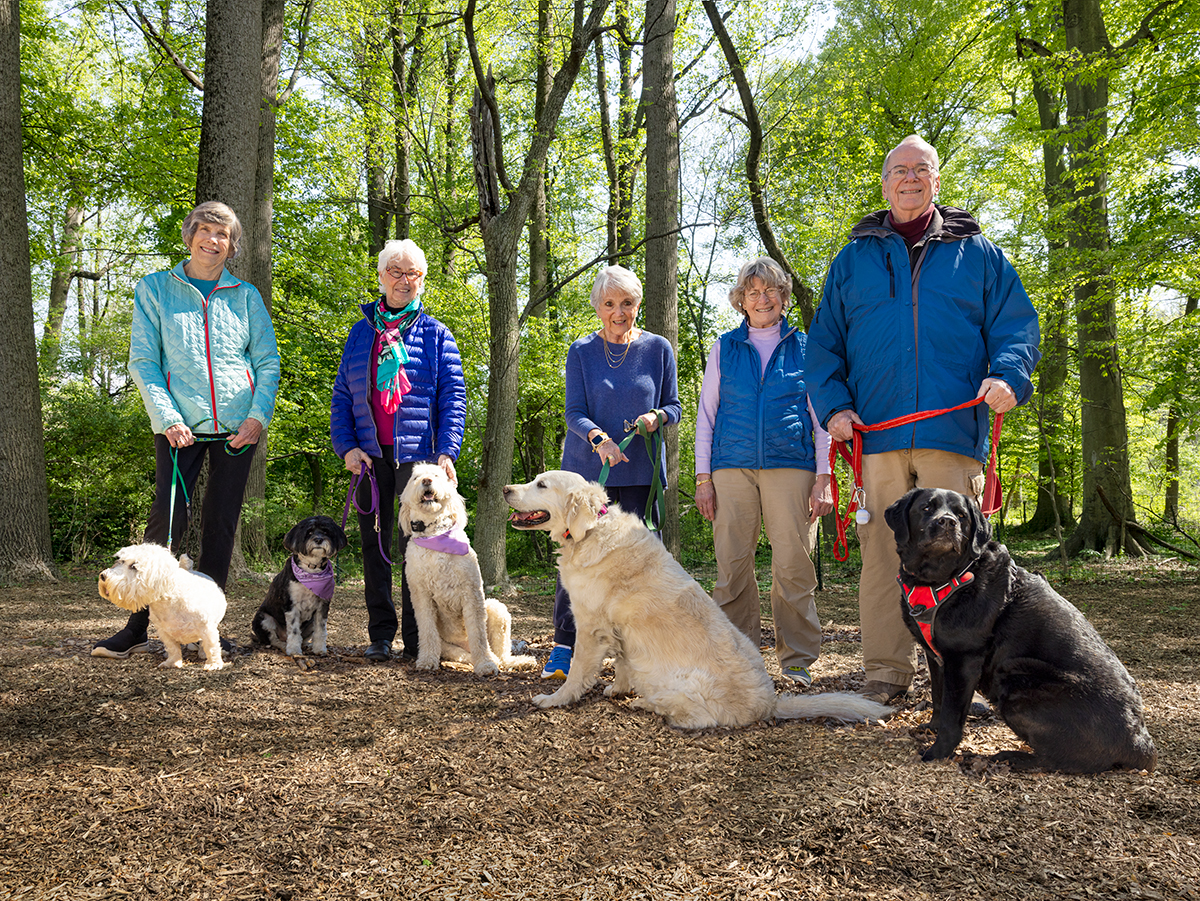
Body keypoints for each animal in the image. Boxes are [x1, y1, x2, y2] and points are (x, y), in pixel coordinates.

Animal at [253, 518, 348, 657]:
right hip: (263, 618)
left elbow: (321, 630)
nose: (318, 539)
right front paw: (294, 650)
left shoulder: (322, 606)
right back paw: (283, 645)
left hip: (310, 623)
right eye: (309, 532)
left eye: (326, 531)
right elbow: (293, 631)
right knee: (273, 639)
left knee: (304, 637)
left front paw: (320, 649)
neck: (311, 570)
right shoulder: (291, 605)